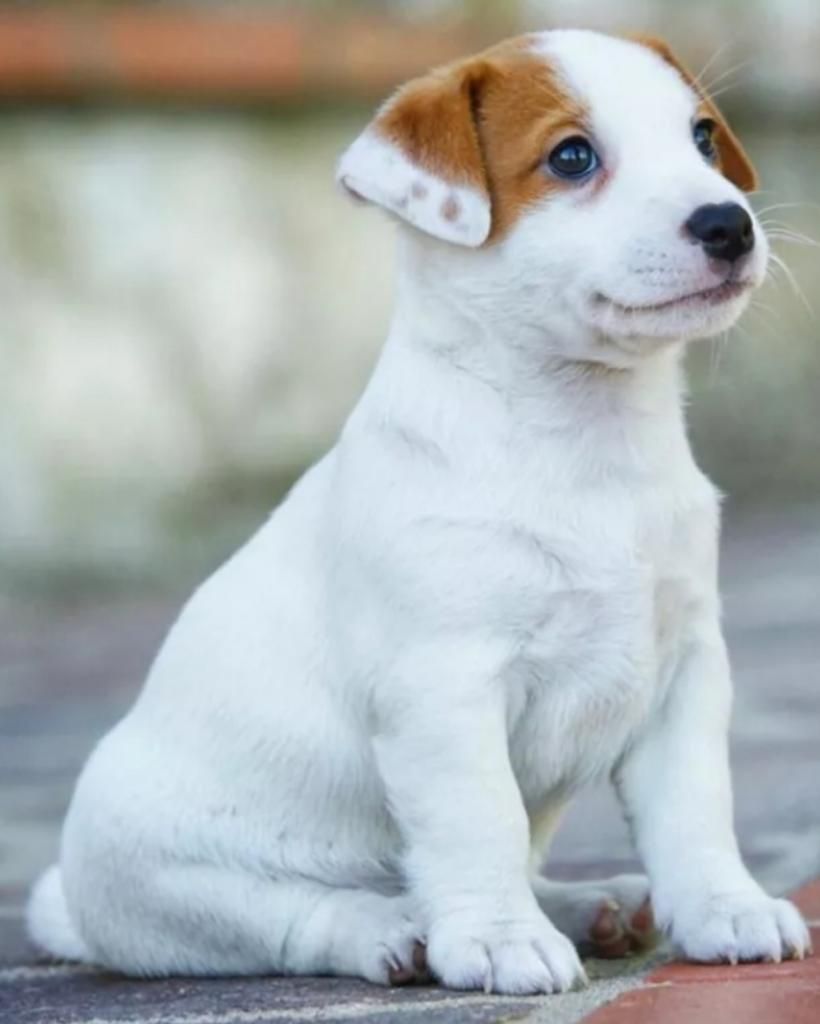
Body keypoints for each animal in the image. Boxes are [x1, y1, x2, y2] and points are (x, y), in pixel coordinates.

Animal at [27, 29, 810, 991]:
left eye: (702, 138)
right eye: (572, 157)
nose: (728, 224)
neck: (585, 441)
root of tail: (73, 910)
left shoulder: (685, 671)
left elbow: (695, 809)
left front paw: (726, 907)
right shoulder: (443, 688)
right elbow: (481, 822)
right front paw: (500, 940)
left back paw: (590, 905)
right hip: (174, 882)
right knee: (301, 918)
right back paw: (395, 930)